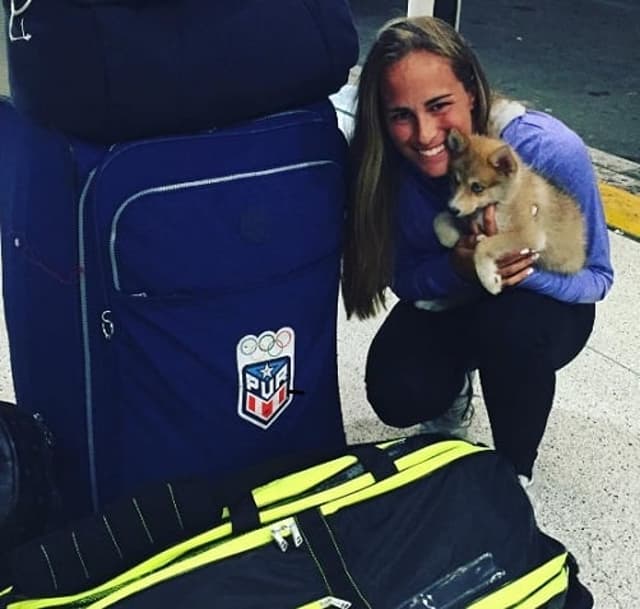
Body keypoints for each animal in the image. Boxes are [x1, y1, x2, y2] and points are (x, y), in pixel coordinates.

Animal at [436, 128, 584, 294]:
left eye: (477, 187)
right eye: (456, 181)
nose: (452, 209)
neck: (503, 199)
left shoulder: (529, 235)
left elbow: (483, 246)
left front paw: (490, 280)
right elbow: (438, 219)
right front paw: (450, 237)